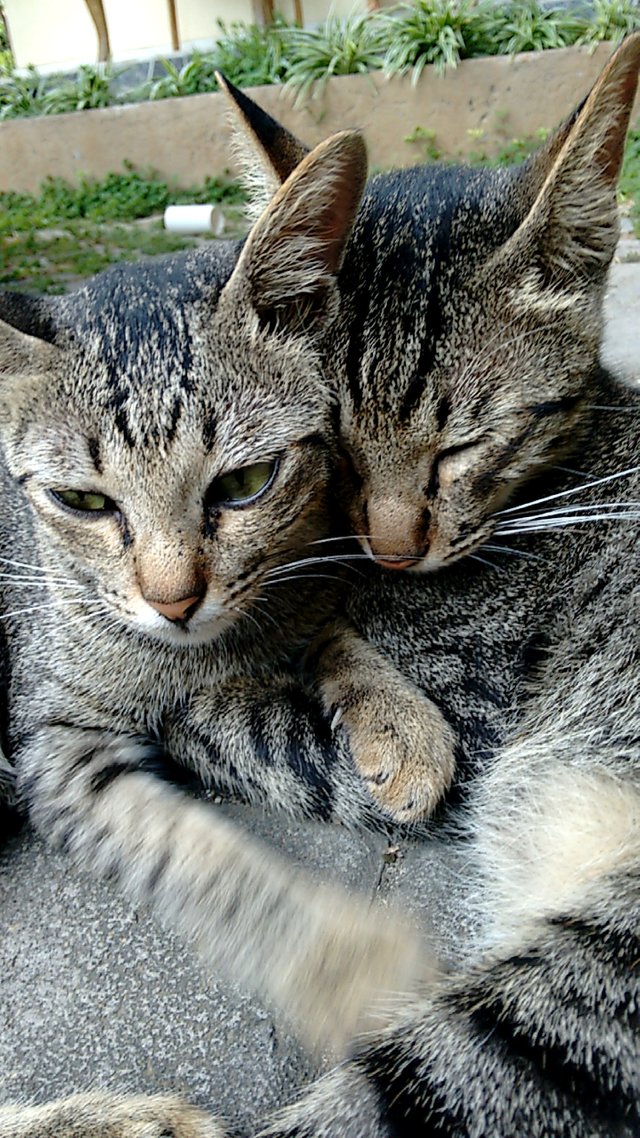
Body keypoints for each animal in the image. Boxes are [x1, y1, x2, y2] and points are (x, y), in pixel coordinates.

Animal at [1, 31, 637, 1138]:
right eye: (82, 501)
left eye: (247, 482)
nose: (173, 600)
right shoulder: (62, 722)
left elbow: (282, 661)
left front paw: (381, 713)